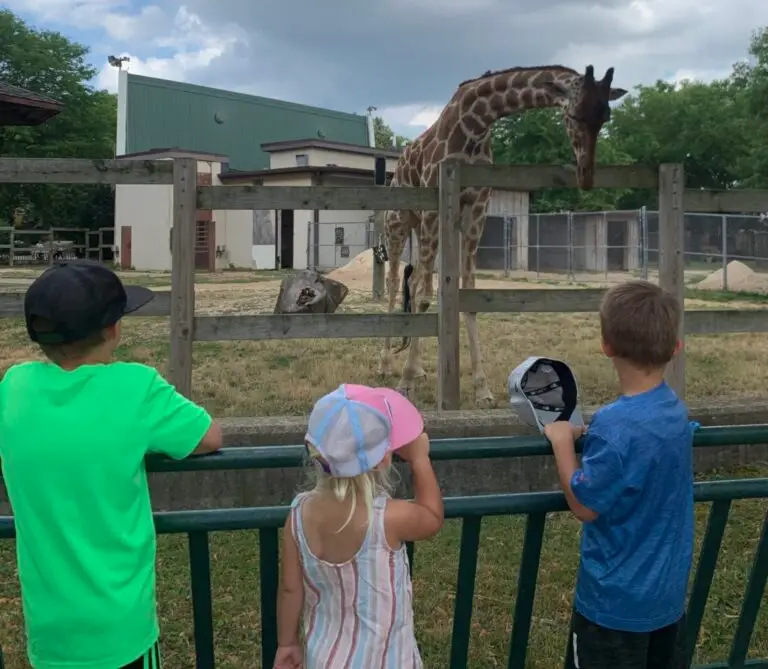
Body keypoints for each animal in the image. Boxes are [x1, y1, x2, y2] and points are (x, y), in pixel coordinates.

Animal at [376, 65, 628, 404]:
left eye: (606, 118)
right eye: (574, 115)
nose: (586, 176)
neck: (476, 124)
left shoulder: (476, 207)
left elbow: (466, 293)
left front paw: (481, 388)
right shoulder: (435, 209)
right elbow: (422, 296)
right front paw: (404, 383)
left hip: (425, 226)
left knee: (415, 279)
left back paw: (419, 369)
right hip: (399, 222)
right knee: (394, 282)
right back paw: (387, 365)